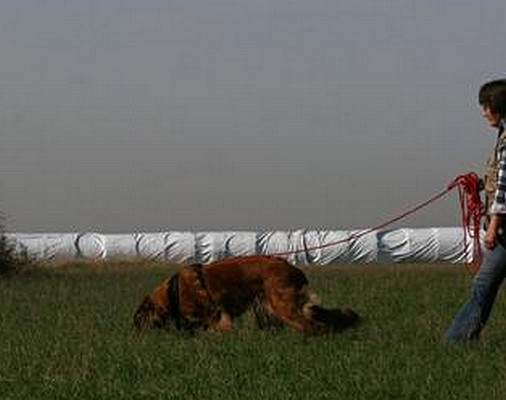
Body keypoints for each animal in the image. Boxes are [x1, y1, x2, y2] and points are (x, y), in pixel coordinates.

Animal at [133, 255, 360, 335]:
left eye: (139, 321)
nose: (137, 336)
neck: (172, 292)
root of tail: (291, 267)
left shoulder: (216, 317)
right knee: (327, 317)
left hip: (283, 306)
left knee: (313, 326)